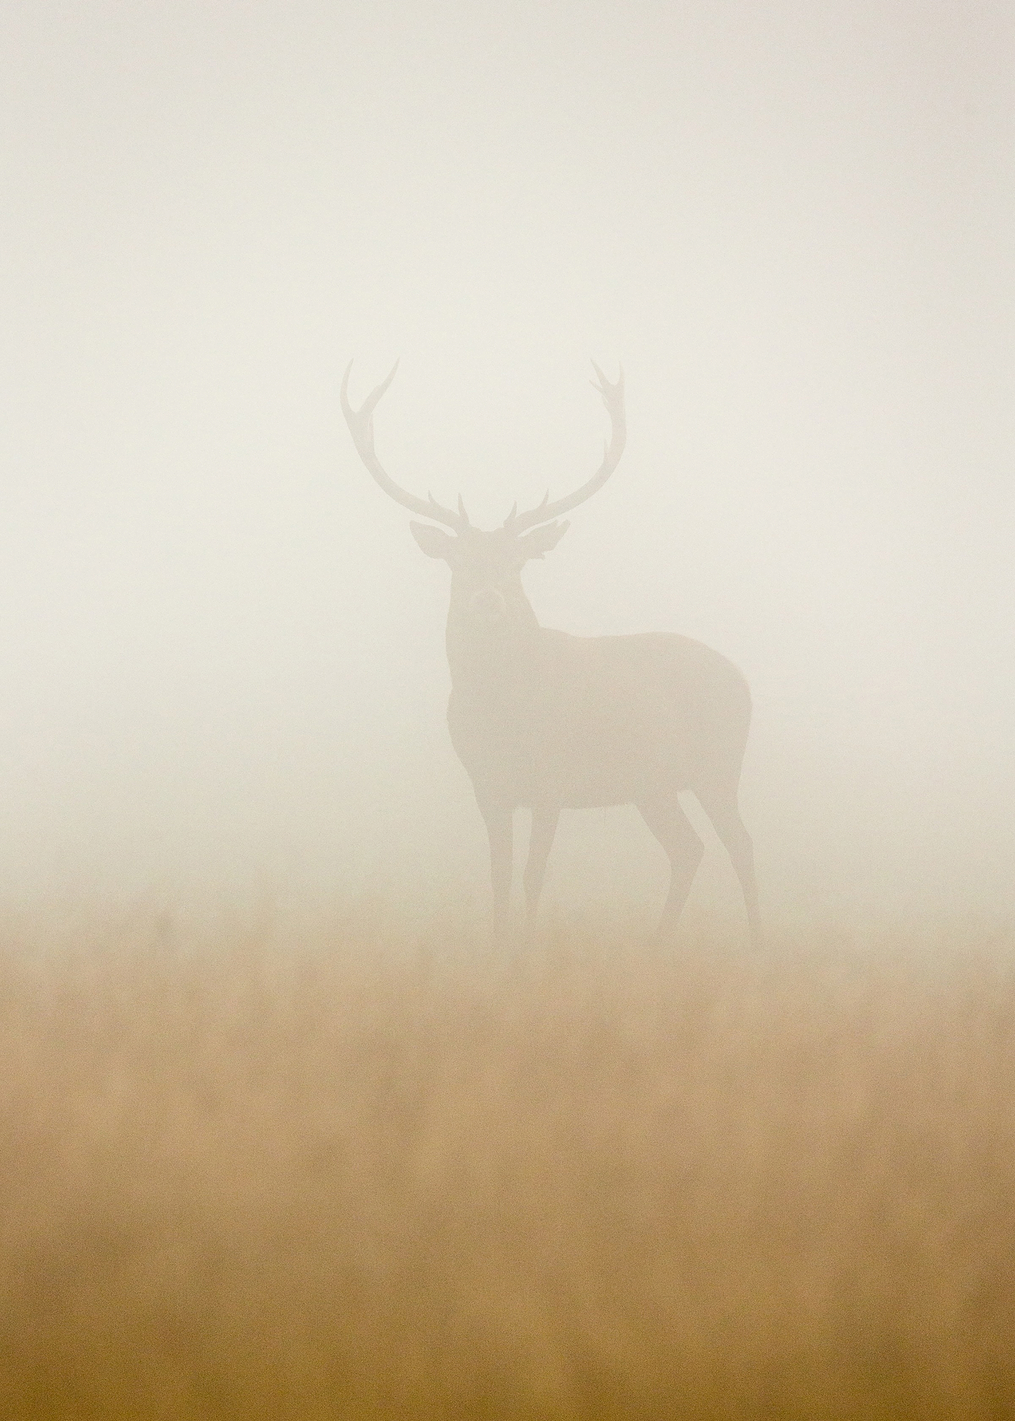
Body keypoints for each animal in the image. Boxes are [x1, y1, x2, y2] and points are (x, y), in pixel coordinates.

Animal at [340, 361, 762, 946]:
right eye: (458, 561)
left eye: (518, 563)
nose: (489, 599)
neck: (501, 712)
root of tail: (742, 680)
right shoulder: (487, 785)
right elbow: (498, 872)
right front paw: (498, 946)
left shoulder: (552, 780)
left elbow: (533, 873)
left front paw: (527, 948)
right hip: (652, 785)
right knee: (688, 848)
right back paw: (657, 946)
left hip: (718, 763)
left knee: (740, 844)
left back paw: (757, 943)